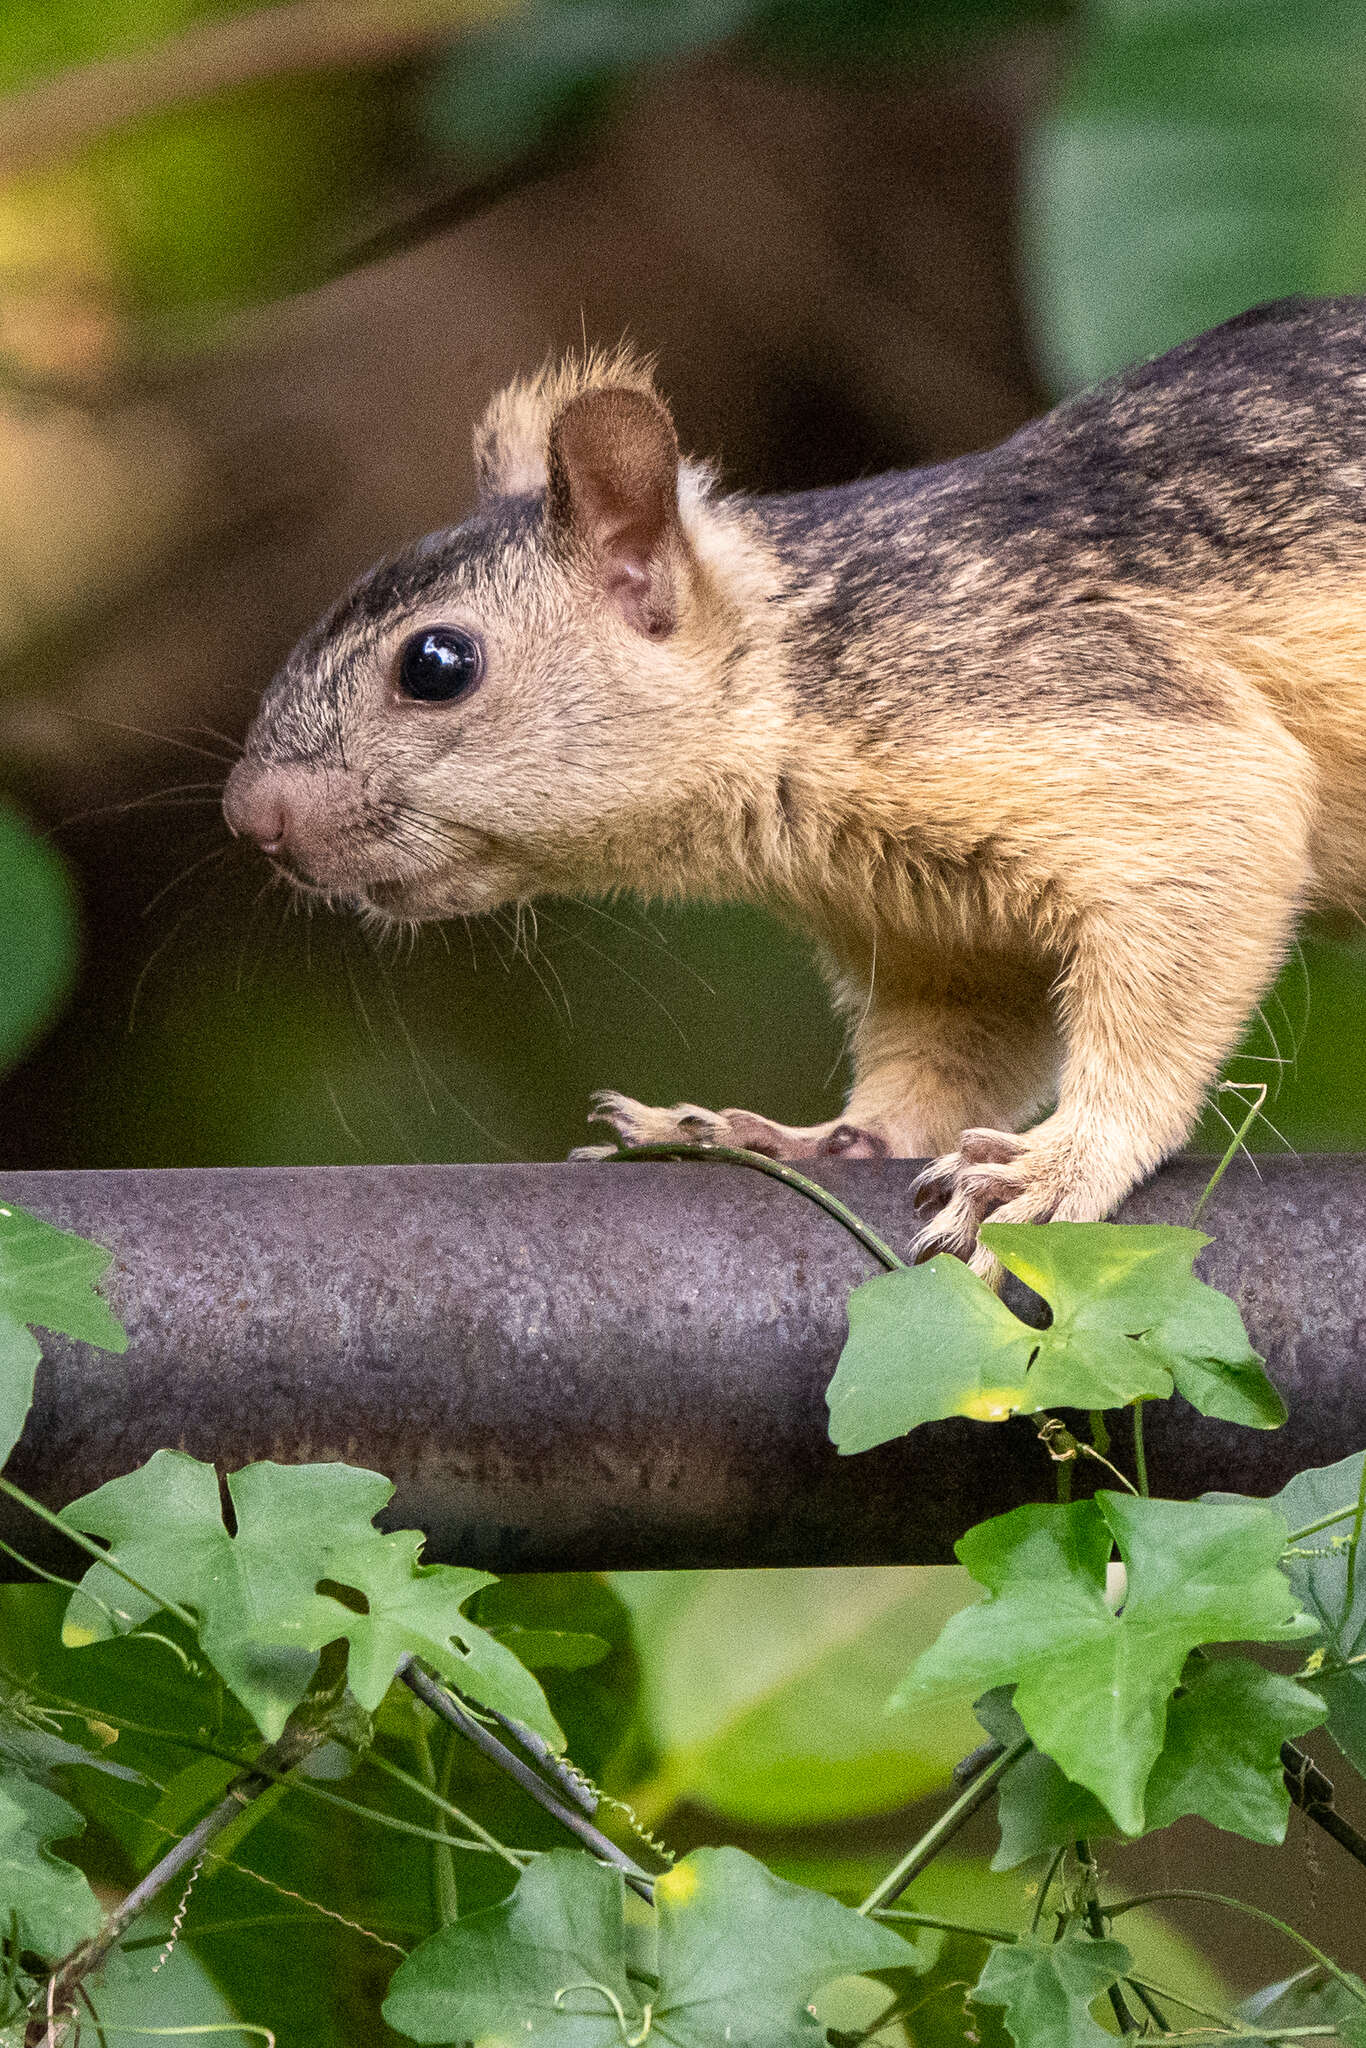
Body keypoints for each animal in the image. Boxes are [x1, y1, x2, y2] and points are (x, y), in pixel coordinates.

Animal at [222, 296, 1366, 1269]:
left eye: (437, 664)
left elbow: (1201, 881)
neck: (793, 673)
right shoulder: (943, 932)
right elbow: (941, 1061)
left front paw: (1057, 1163)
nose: (251, 815)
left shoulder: (1116, 728)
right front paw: (796, 1135)